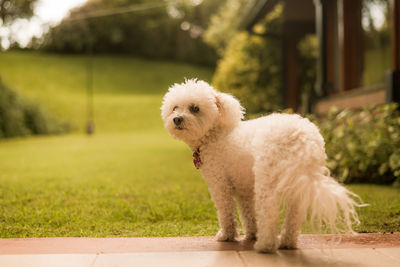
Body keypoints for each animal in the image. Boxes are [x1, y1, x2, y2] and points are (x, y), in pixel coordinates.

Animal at [160, 79, 362, 253]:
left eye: (195, 108)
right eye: (175, 108)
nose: (177, 119)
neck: (214, 134)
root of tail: (303, 138)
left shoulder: (220, 185)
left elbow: (226, 213)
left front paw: (227, 235)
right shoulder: (244, 190)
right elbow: (248, 214)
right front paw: (251, 234)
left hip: (268, 181)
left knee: (269, 213)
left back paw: (265, 246)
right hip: (298, 185)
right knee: (294, 216)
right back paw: (287, 243)